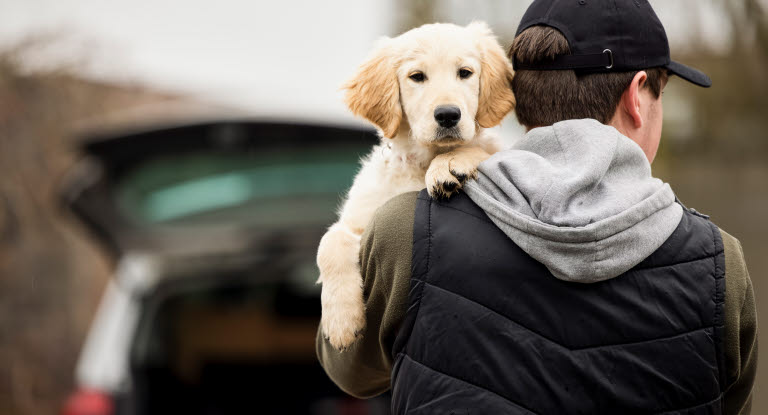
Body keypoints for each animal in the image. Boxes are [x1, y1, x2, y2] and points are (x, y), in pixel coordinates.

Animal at [316, 21, 512, 350]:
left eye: (465, 73)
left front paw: (450, 163)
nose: (448, 115)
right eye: (417, 77)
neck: (421, 161)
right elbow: (329, 243)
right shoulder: (360, 219)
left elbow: (482, 149)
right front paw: (341, 322)